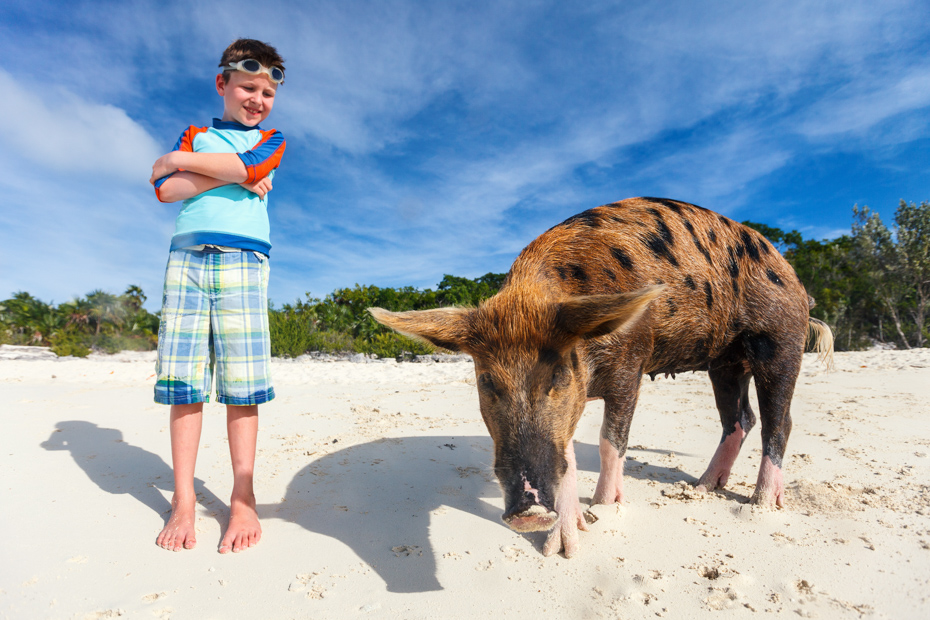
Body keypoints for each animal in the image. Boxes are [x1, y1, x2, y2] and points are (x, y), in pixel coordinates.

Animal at [369, 197, 833, 557]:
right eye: (487, 382)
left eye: (558, 374)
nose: (528, 512)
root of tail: (796, 281)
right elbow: (568, 453)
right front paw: (564, 545)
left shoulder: (632, 364)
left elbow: (612, 441)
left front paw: (604, 507)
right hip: (724, 362)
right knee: (739, 420)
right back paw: (703, 488)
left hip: (780, 339)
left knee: (779, 421)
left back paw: (760, 505)